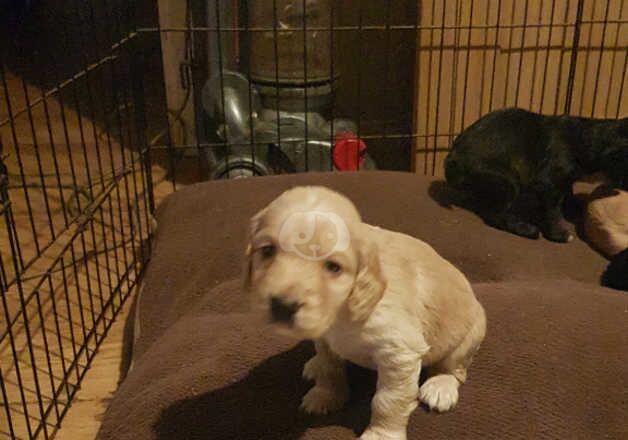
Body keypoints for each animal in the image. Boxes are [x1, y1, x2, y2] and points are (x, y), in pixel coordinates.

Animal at [244, 186, 486, 440]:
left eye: (333, 267)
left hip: (469, 337)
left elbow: (388, 400)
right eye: (267, 251)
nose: (282, 306)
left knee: (454, 368)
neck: (342, 311)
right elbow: (329, 367)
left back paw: (440, 385)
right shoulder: (324, 338)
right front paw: (325, 395)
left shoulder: (400, 353)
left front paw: (381, 434)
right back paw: (313, 365)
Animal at [444, 108, 628, 242]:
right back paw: (526, 229)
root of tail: (453, 156)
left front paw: (574, 207)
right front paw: (558, 234)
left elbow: (567, 194)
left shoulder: (564, 180)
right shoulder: (550, 182)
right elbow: (553, 211)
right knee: (495, 215)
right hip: (507, 182)